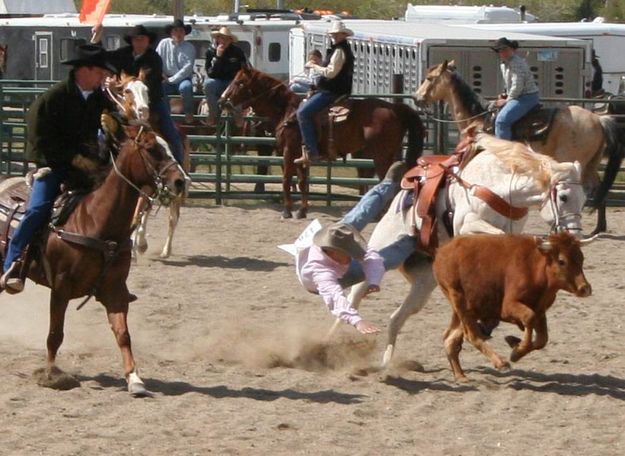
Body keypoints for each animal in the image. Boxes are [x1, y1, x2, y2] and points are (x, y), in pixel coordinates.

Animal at [0, 124, 186, 396]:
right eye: (152, 149)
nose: (180, 181)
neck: (95, 222)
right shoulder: (61, 287)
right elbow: (55, 334)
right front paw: (52, 375)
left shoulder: (115, 289)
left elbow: (123, 334)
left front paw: (134, 379)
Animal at [218, 65, 424, 219]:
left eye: (239, 82)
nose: (222, 101)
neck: (287, 110)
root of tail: (395, 108)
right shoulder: (300, 156)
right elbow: (302, 182)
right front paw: (302, 211)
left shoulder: (288, 150)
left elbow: (286, 180)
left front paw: (287, 211)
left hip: (381, 156)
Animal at [336, 132, 584, 366]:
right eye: (563, 197)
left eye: (584, 200)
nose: (575, 235)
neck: (501, 188)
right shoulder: (468, 224)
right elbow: (499, 237)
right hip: (382, 252)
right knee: (355, 293)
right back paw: (333, 339)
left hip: (424, 283)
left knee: (396, 318)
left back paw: (387, 363)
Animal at [414, 60, 624, 233]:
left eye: (429, 78)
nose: (417, 98)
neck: (478, 118)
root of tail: (599, 119)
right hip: (589, 164)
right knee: (599, 188)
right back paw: (599, 227)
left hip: (573, 159)